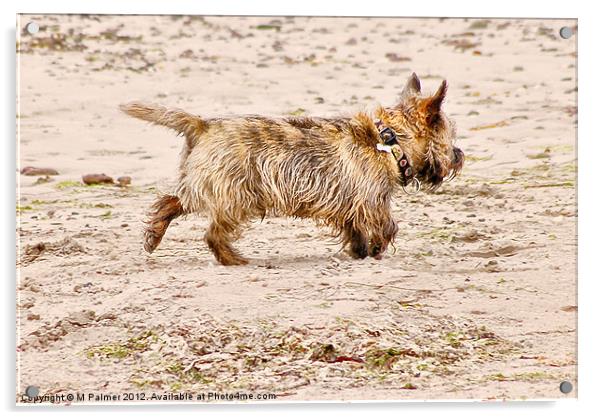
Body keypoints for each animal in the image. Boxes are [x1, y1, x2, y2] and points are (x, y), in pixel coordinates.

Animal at [119, 71, 462, 262]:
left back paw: (153, 237)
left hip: (205, 186)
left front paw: (360, 250)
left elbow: (354, 227)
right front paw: (376, 249)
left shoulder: (349, 204)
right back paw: (233, 259)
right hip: (237, 197)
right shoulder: (372, 200)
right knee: (213, 233)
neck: (389, 140)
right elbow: (385, 225)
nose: (459, 156)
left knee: (170, 202)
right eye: (451, 135)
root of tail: (203, 124)